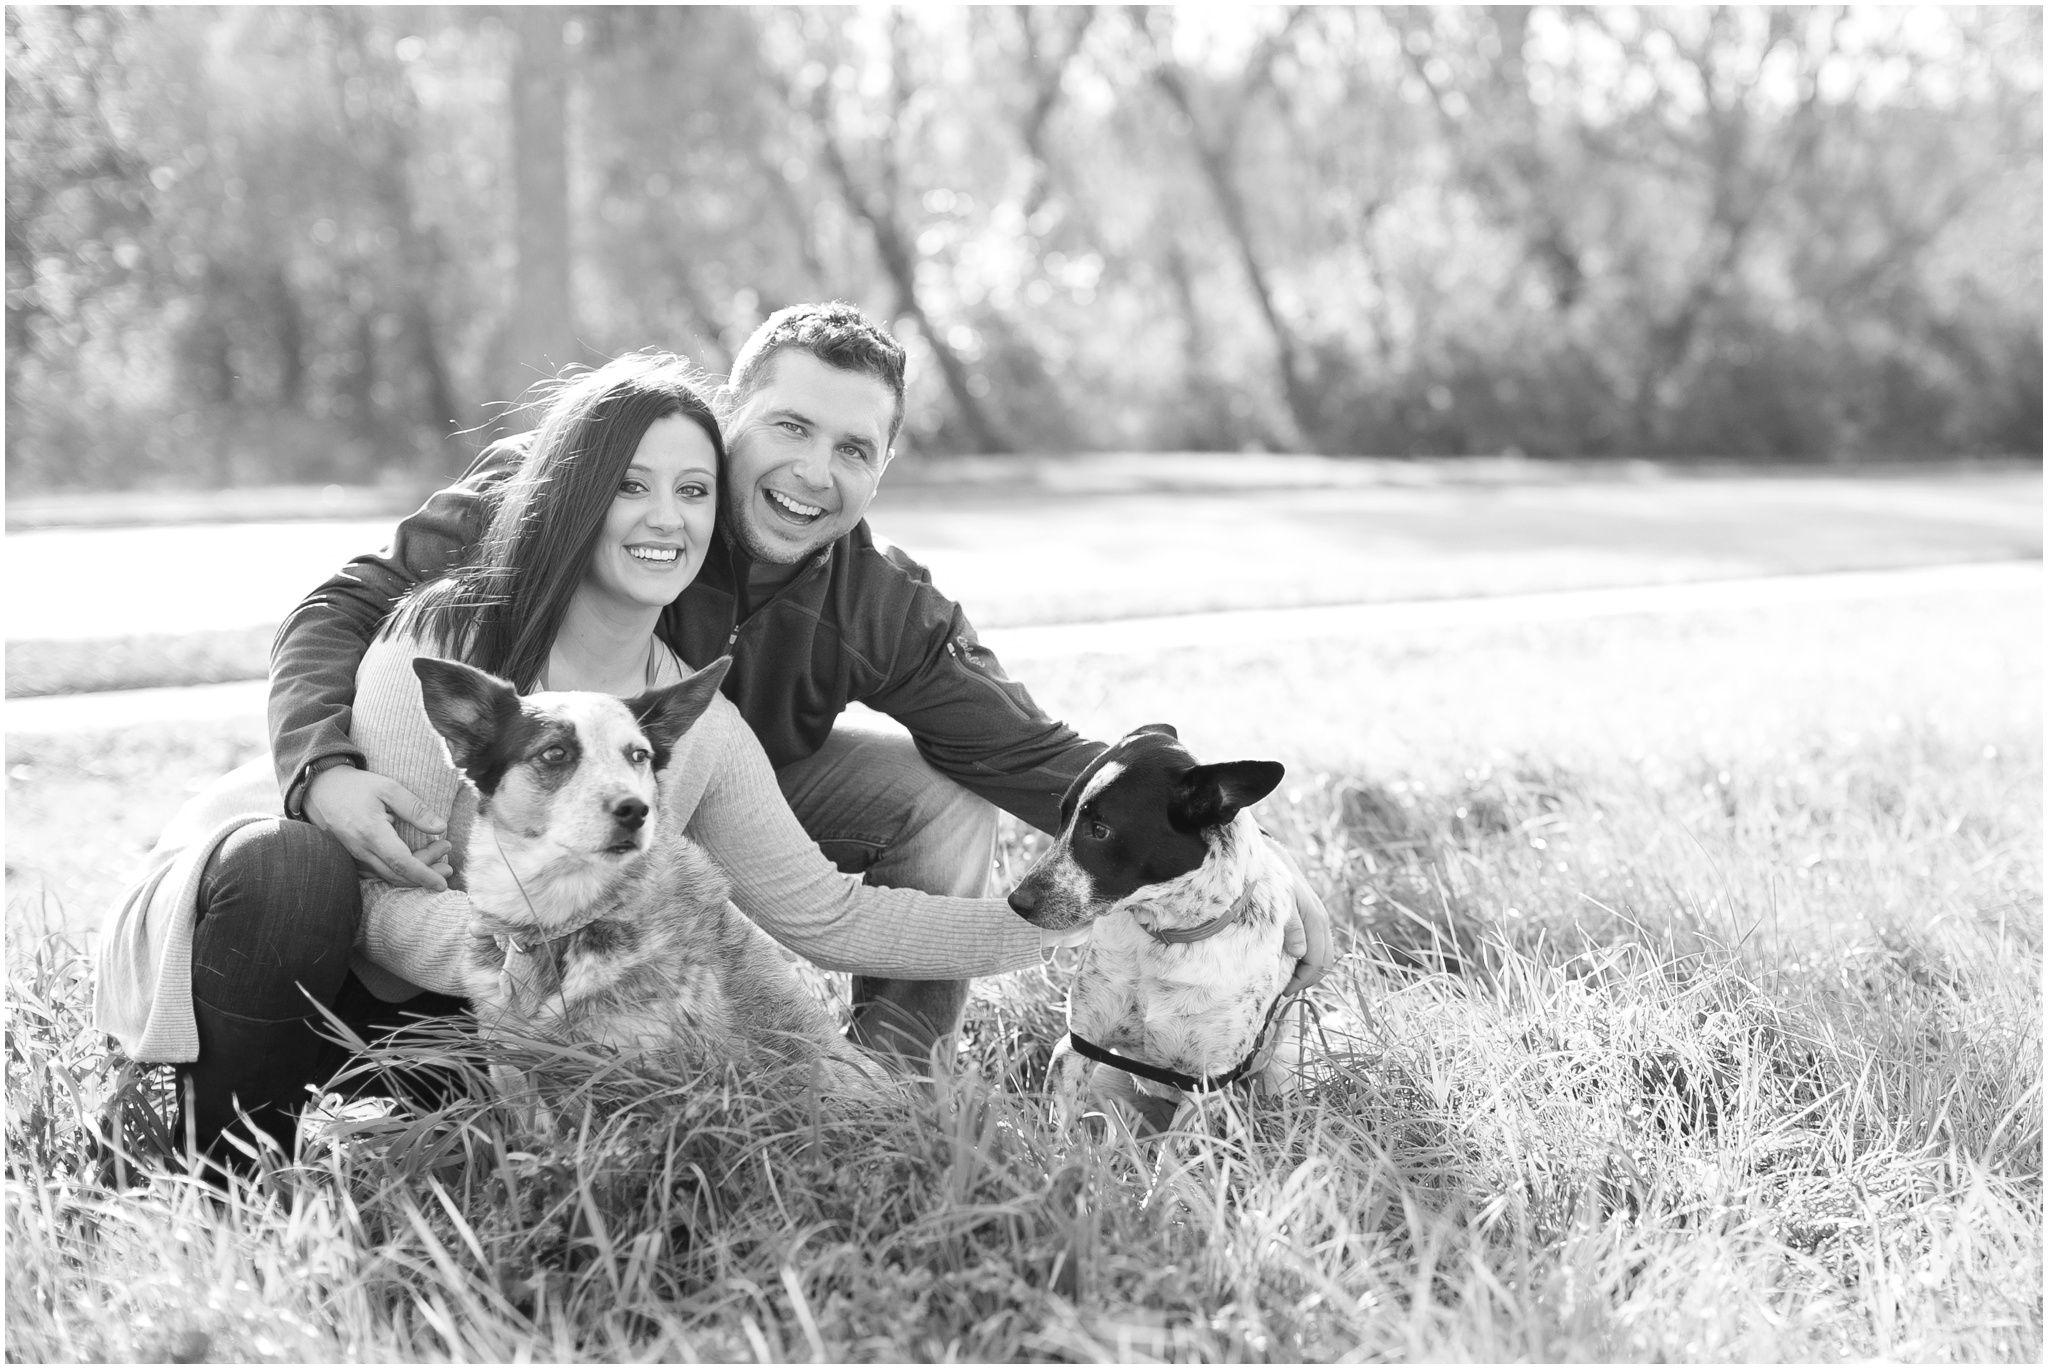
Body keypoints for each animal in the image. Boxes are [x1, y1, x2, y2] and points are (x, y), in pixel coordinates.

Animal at [1003, 721, 1294, 1139]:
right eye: (1061, 818)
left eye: (1100, 830)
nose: (1017, 902)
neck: (1166, 937)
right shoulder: (1076, 1047)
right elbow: (1060, 1140)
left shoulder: (1205, 1086)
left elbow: (1172, 1157)